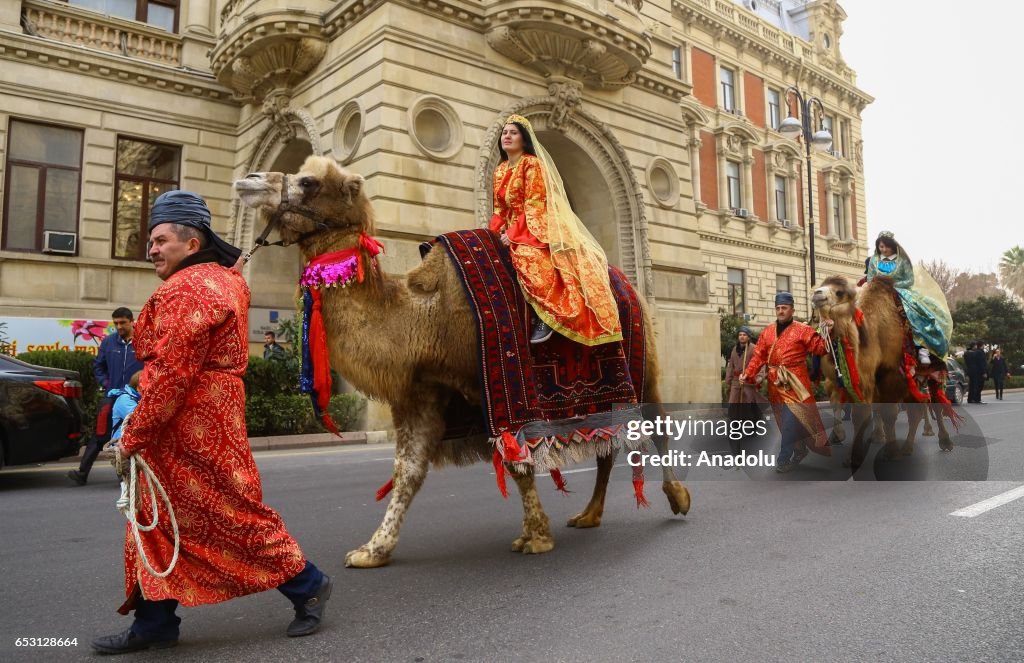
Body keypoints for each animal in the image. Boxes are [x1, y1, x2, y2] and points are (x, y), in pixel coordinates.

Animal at [235, 154, 692, 565]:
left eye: (309, 182)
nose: (249, 179)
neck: (425, 315)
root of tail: (626, 284)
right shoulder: (424, 392)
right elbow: (408, 471)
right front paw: (372, 550)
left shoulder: (497, 385)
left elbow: (515, 459)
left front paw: (535, 538)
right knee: (610, 441)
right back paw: (589, 515)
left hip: (643, 364)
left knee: (656, 424)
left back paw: (677, 498)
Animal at [811, 274, 954, 467]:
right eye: (821, 285)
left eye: (839, 292)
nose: (817, 294)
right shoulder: (855, 379)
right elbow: (858, 413)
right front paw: (851, 454)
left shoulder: (891, 374)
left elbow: (888, 413)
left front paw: (891, 451)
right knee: (916, 410)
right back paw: (907, 447)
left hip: (933, 372)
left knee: (935, 403)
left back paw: (944, 441)